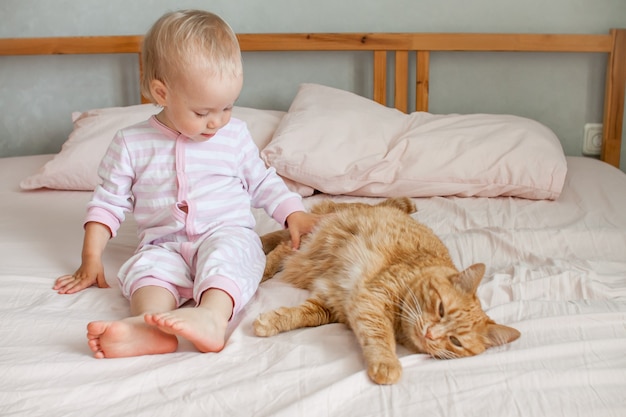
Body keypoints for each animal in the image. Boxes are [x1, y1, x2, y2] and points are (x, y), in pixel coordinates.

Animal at [251, 198, 520, 384]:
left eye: (455, 341)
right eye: (441, 309)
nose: (430, 334)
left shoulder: (331, 304)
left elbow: (302, 315)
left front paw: (271, 321)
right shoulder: (372, 298)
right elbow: (380, 335)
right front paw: (387, 363)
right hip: (307, 239)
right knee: (281, 245)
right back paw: (261, 269)